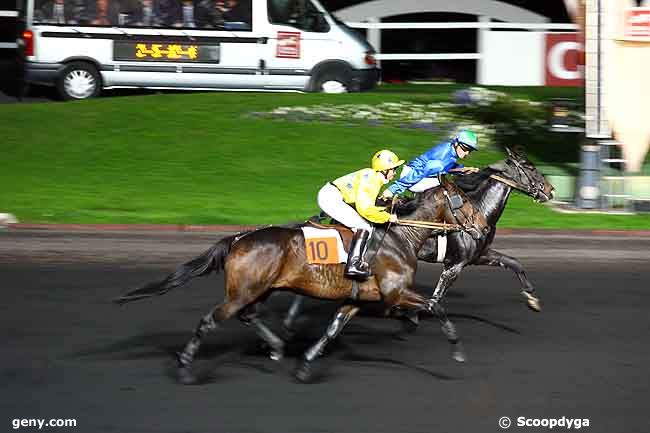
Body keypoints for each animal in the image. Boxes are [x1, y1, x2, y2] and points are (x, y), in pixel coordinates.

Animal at [112, 179, 486, 382]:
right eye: (464, 201)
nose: (483, 227)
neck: (401, 236)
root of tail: (239, 238)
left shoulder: (356, 299)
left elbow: (333, 328)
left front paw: (306, 364)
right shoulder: (395, 294)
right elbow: (436, 307)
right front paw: (457, 350)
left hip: (259, 289)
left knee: (248, 315)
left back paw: (277, 347)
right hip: (242, 291)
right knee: (210, 320)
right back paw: (186, 367)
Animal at [280, 148, 556, 334]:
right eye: (530, 167)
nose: (550, 190)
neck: (478, 209)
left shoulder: (479, 256)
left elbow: (514, 262)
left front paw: (533, 300)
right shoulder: (454, 266)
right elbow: (435, 299)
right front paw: (409, 314)